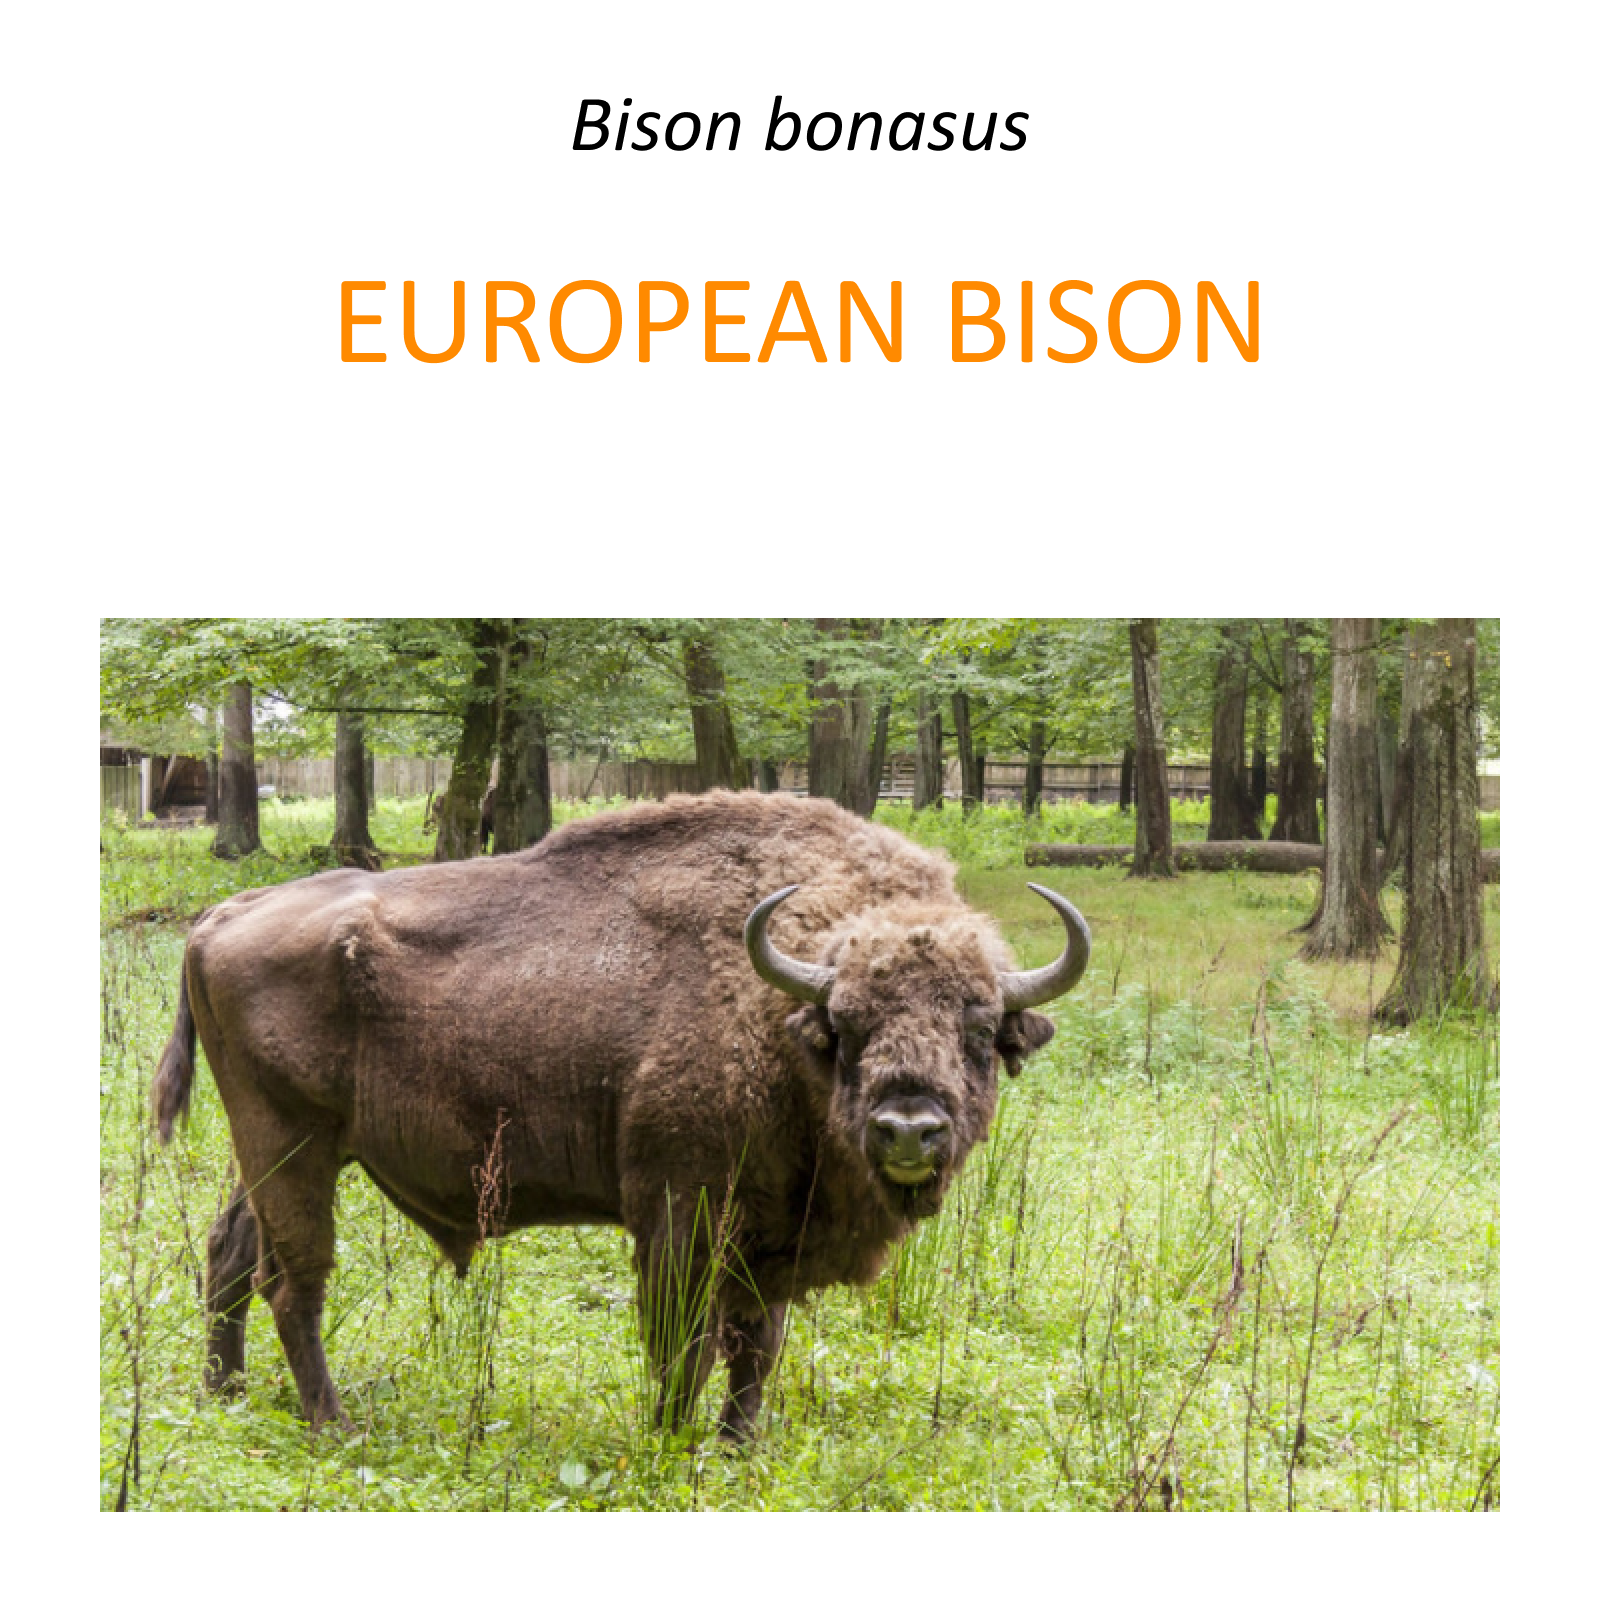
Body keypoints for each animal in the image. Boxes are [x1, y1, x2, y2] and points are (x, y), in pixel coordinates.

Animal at [153, 791, 1089, 1440]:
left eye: (979, 1029)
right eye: (845, 1026)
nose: (907, 1130)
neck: (774, 1011)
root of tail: (221, 915)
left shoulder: (769, 1238)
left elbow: (757, 1346)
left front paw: (738, 1449)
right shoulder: (678, 1215)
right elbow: (685, 1344)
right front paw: (667, 1443)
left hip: (280, 1152)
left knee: (229, 1253)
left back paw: (227, 1398)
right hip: (293, 1146)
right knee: (292, 1282)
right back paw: (336, 1426)